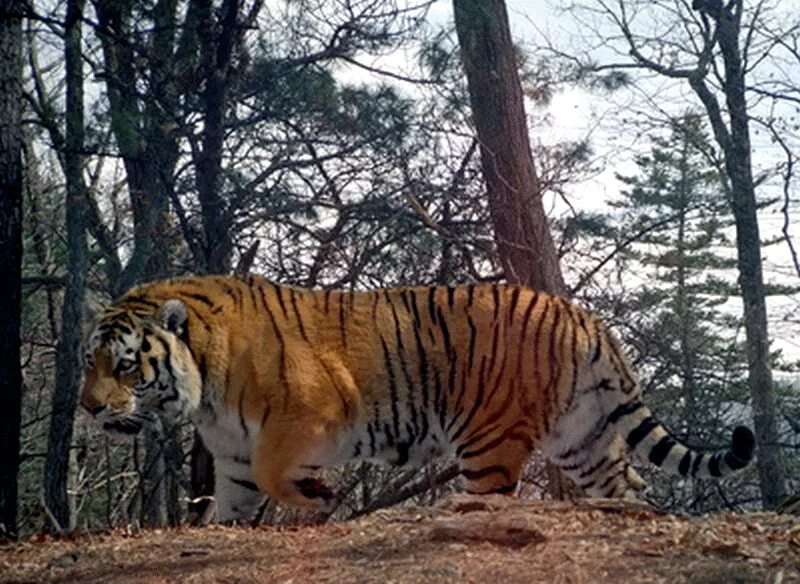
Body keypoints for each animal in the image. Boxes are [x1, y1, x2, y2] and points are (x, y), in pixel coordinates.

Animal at [81, 274, 756, 520]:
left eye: (125, 365)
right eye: (90, 360)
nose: (89, 407)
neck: (205, 390)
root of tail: (582, 315)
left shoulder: (310, 416)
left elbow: (280, 473)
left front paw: (319, 495)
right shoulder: (235, 457)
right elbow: (235, 504)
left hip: (489, 441)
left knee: (495, 494)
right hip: (582, 438)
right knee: (629, 486)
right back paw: (631, 516)